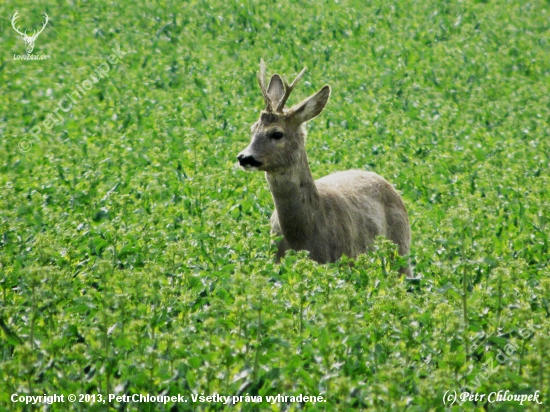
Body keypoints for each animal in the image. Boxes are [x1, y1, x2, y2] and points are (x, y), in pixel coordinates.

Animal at [237, 59, 414, 276]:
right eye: (253, 128)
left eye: (277, 133)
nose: (244, 157)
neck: (302, 236)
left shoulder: (342, 261)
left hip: (401, 249)